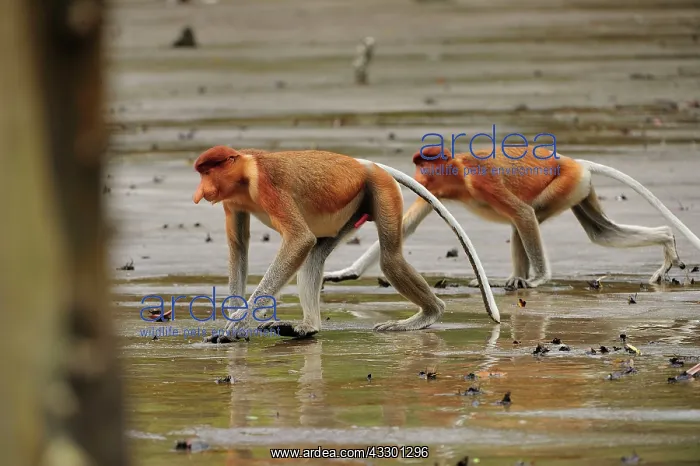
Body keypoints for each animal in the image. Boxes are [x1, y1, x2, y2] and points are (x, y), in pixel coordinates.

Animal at [191, 145, 500, 342]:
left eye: (208, 172)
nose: (200, 193)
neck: (246, 172)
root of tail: (365, 164)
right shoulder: (232, 202)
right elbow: (238, 247)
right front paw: (233, 320)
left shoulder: (267, 185)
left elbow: (299, 239)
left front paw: (237, 323)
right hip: (351, 211)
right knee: (315, 256)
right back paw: (307, 327)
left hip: (381, 189)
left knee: (390, 259)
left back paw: (430, 313)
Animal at [323, 145, 700, 290]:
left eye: (423, 164)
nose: (417, 175)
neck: (458, 173)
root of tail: (575, 162)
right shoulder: (439, 191)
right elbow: (406, 226)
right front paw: (344, 273)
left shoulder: (481, 177)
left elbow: (521, 212)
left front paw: (540, 279)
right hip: (580, 188)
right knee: (600, 232)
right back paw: (667, 240)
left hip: (564, 184)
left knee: (525, 217)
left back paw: (526, 280)